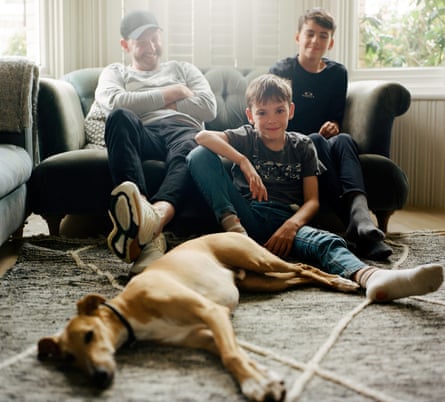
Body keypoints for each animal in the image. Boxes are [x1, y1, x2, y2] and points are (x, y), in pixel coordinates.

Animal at [37, 232, 358, 402]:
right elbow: (237, 354)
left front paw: (254, 386)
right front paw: (263, 378)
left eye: (89, 334)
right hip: (261, 281)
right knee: (298, 276)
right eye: (69, 358)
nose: (99, 378)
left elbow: (232, 355)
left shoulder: (212, 312)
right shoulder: (203, 337)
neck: (130, 310)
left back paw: (341, 282)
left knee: (302, 267)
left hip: (259, 260)